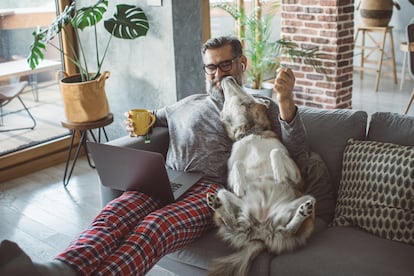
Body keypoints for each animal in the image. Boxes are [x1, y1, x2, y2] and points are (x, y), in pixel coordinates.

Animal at [205, 75, 316, 276]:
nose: (228, 77)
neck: (250, 133)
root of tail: (261, 234)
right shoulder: (229, 175)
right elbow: (237, 166)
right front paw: (240, 185)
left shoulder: (296, 174)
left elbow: (275, 152)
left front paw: (279, 175)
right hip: (223, 193)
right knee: (232, 222)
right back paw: (218, 205)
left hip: (308, 201)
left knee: (289, 229)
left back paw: (302, 212)